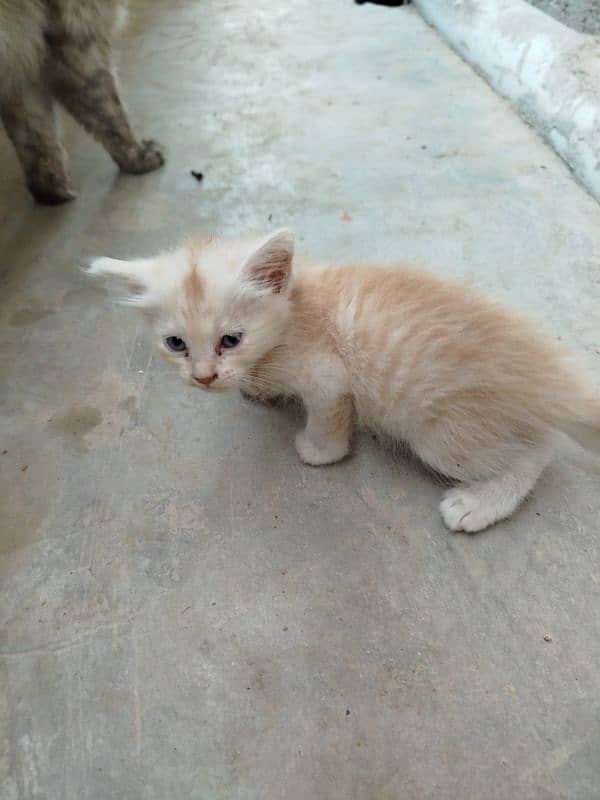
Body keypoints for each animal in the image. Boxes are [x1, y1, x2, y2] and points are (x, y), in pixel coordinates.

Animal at [0, 0, 164, 205]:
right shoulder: (78, 40)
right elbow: (109, 108)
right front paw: (138, 157)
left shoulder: (25, 64)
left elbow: (35, 136)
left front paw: (51, 190)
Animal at [89, 231, 600, 532]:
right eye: (175, 344)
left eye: (230, 340)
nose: (204, 377)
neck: (296, 310)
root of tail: (553, 378)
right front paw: (256, 386)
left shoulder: (330, 377)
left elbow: (329, 419)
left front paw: (317, 451)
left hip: (444, 437)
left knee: (535, 453)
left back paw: (479, 504)